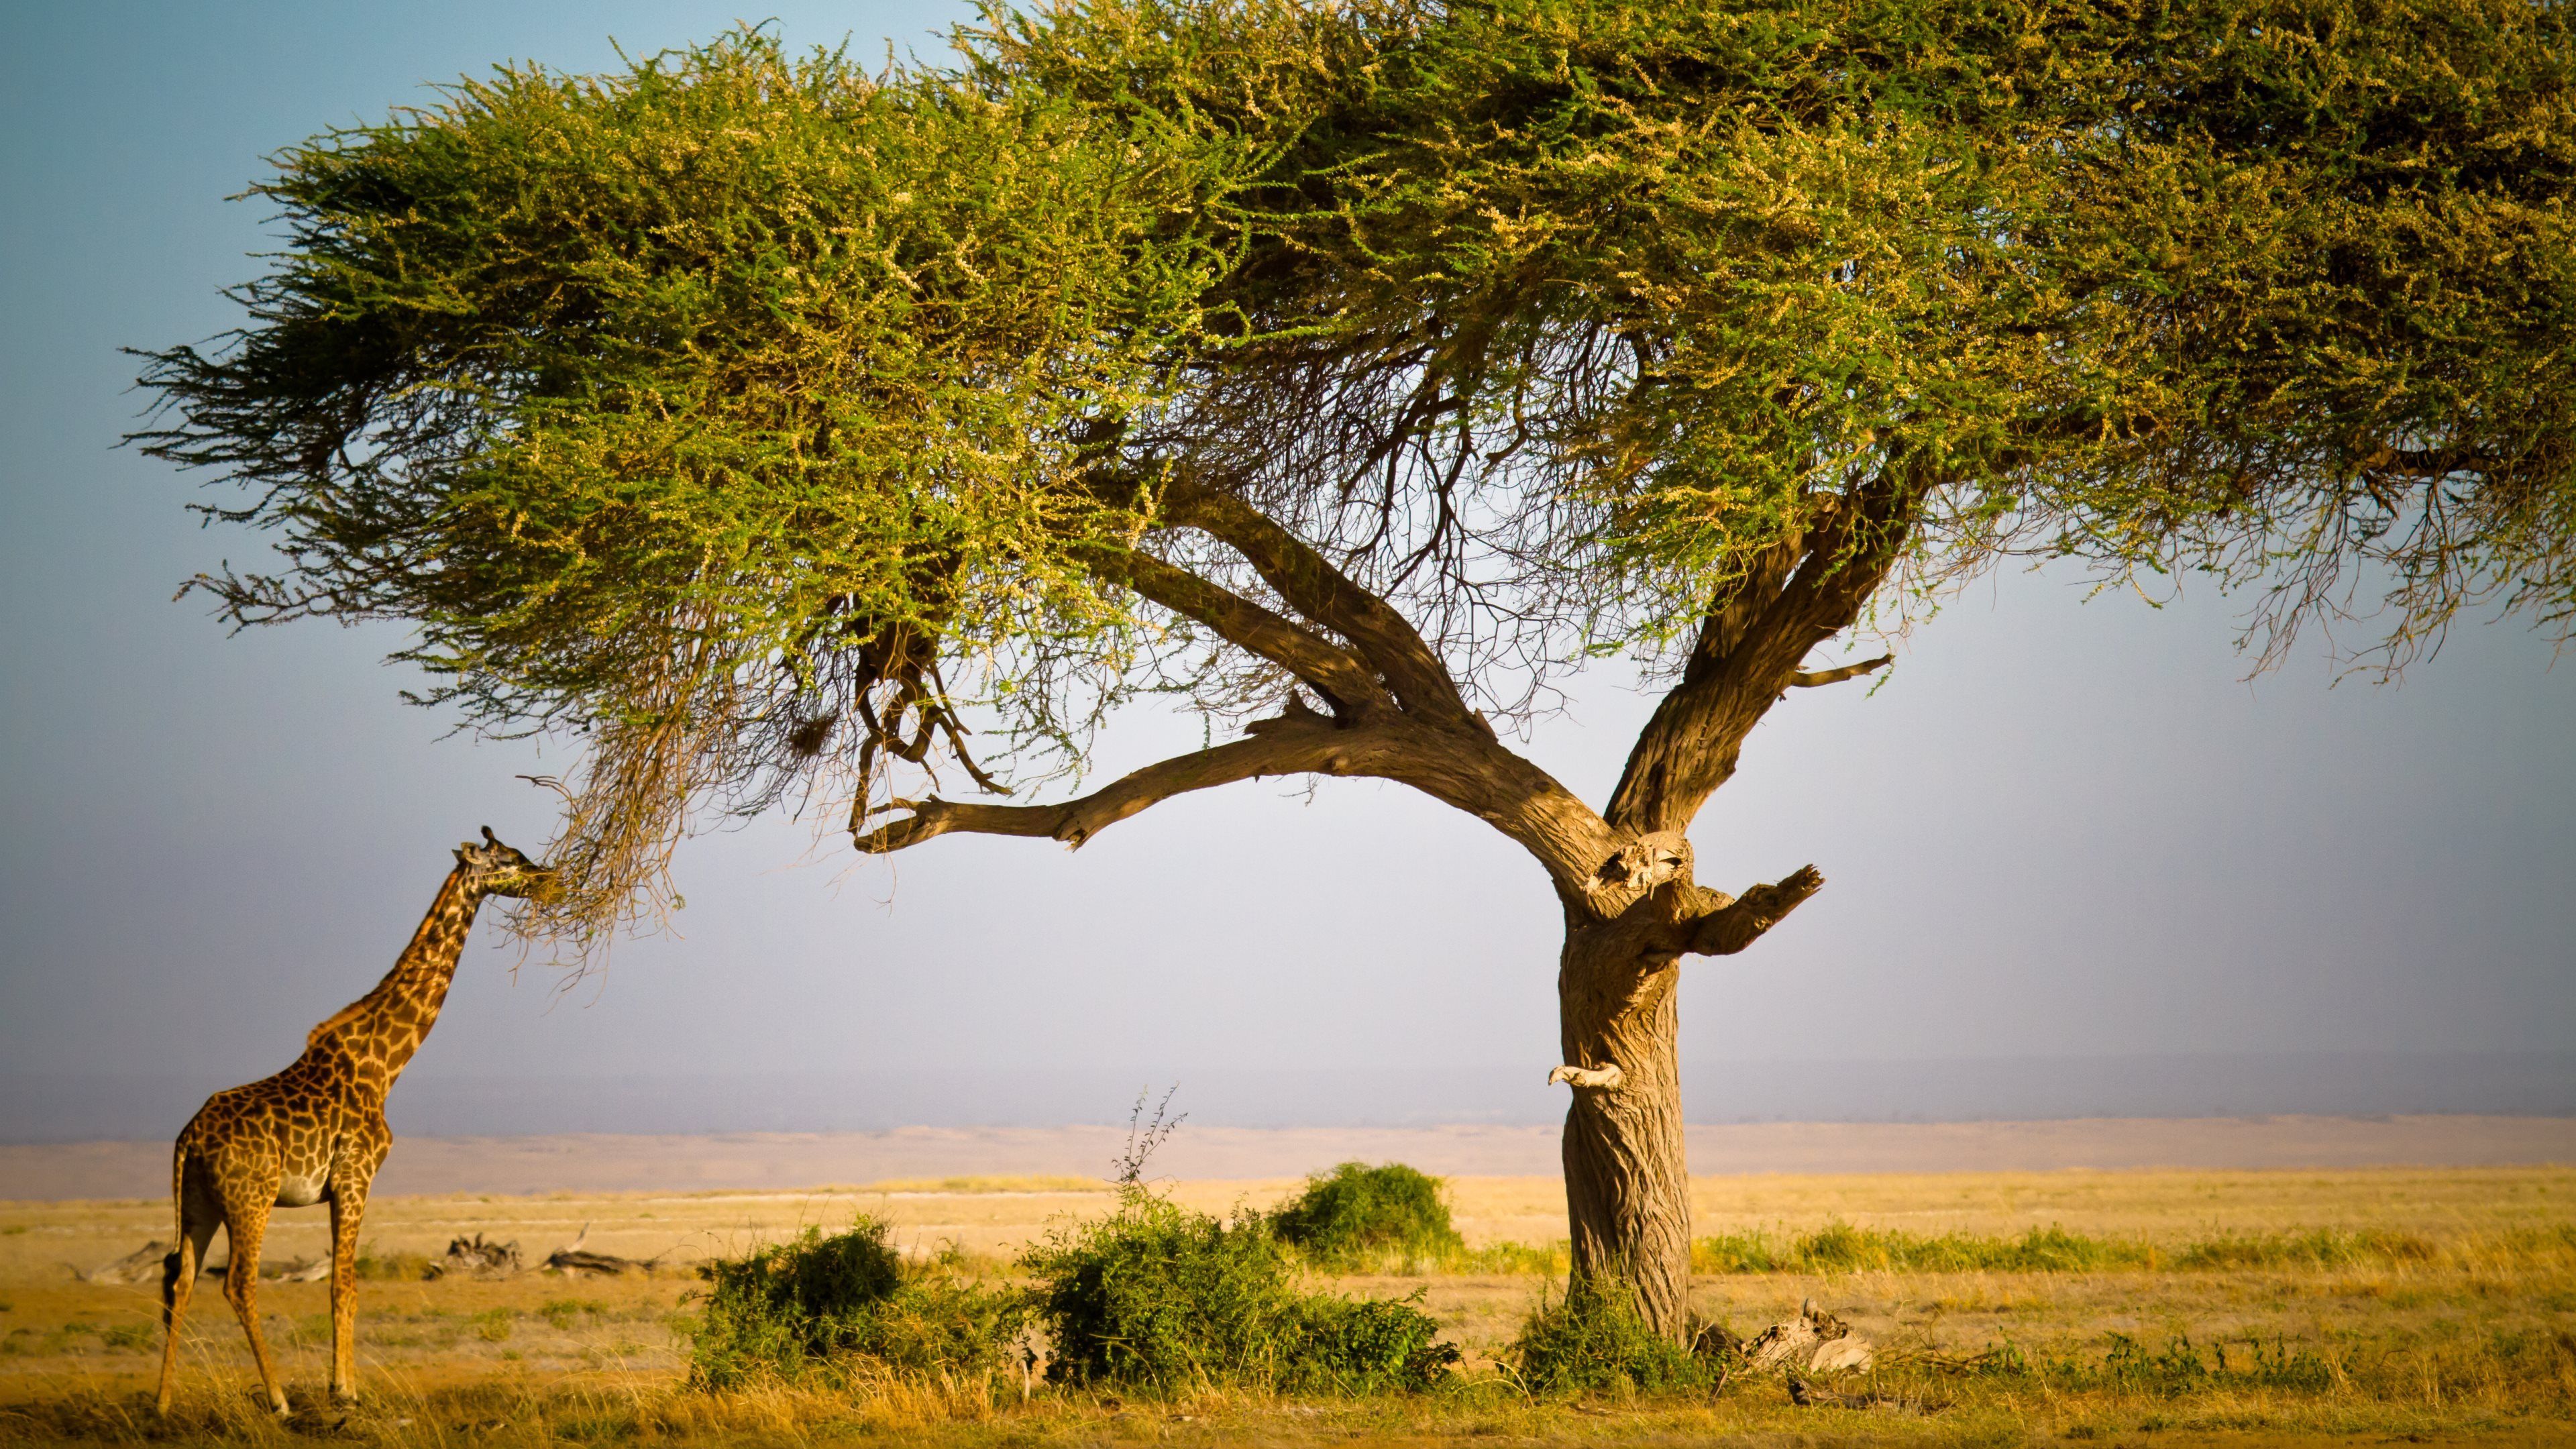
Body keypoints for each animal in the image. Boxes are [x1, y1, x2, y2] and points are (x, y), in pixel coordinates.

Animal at [155, 828, 556, 1416]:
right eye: (509, 859)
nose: (551, 877)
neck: (383, 1067)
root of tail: (188, 1139)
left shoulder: (339, 1185)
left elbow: (339, 1284)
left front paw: (341, 1385)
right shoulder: (355, 1177)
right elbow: (345, 1285)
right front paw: (345, 1391)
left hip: (199, 1202)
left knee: (180, 1280)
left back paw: (161, 1402)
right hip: (250, 1198)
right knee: (238, 1284)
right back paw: (279, 1400)